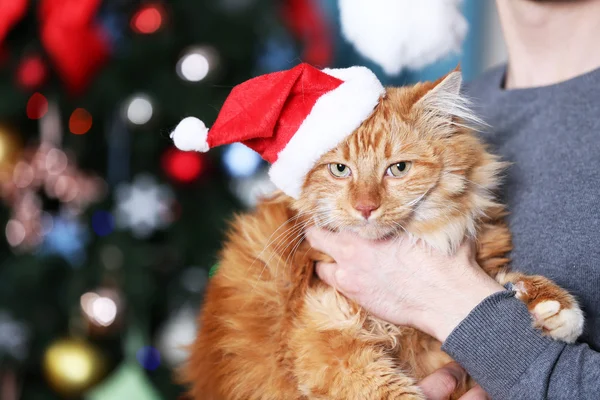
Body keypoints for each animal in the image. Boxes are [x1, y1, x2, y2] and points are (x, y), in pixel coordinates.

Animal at [182, 70, 580, 398]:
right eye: (340, 170)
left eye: (398, 168)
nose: (365, 207)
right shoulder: (326, 339)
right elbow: (390, 391)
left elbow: (505, 282)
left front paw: (554, 307)